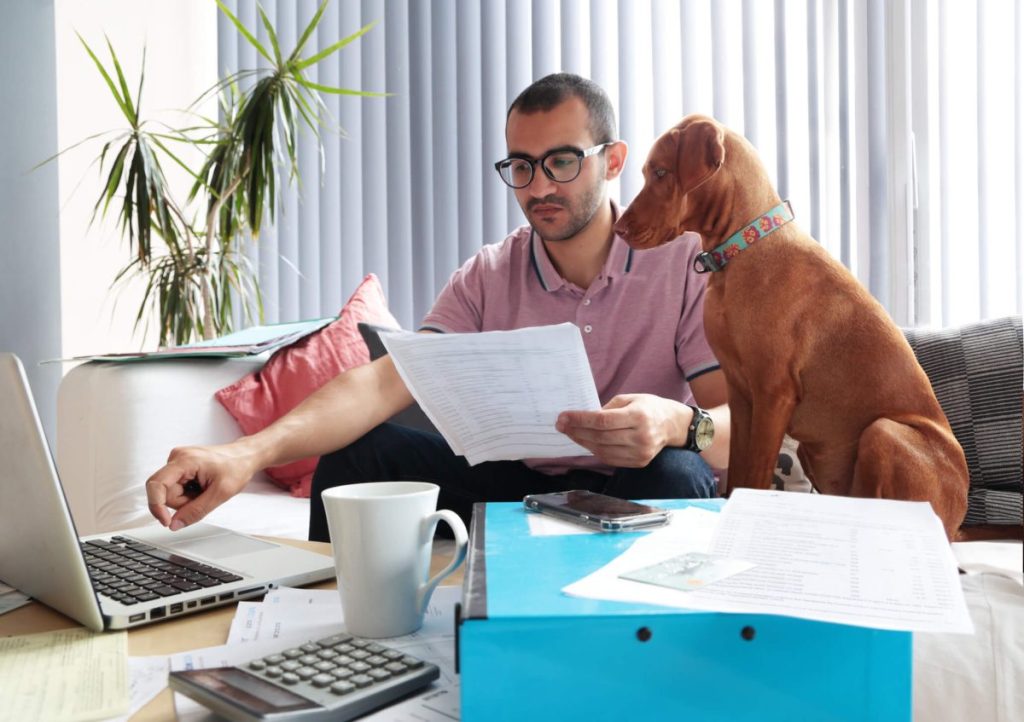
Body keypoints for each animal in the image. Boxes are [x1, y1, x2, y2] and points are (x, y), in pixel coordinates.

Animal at [614, 115, 966, 536]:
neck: (740, 252)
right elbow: (737, 473)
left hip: (884, 432)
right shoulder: (741, 393)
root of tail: (960, 515)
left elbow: (754, 476)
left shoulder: (773, 394)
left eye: (661, 172)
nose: (618, 229)